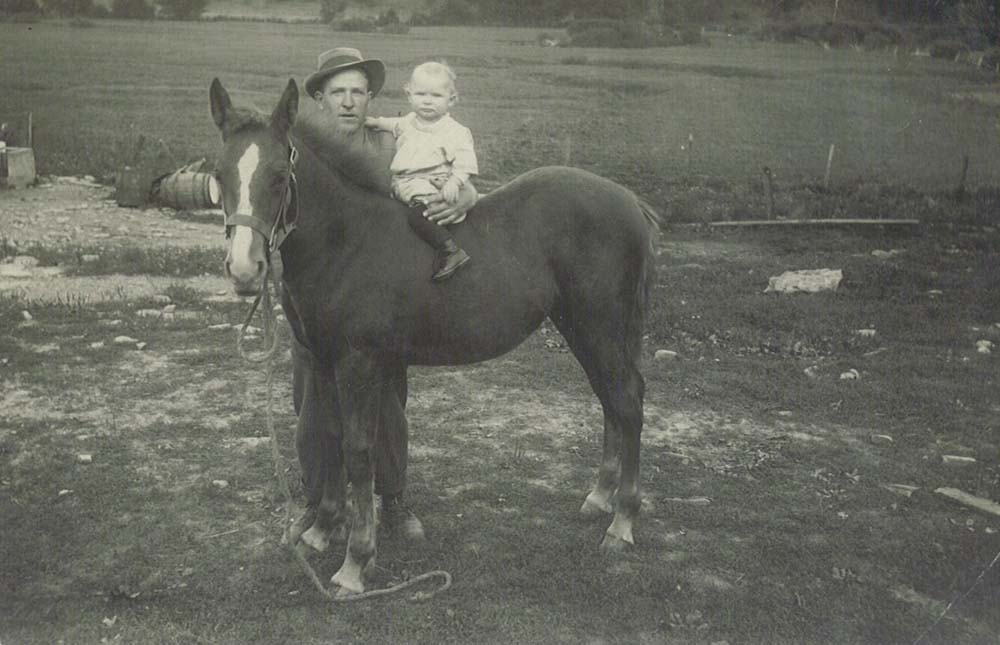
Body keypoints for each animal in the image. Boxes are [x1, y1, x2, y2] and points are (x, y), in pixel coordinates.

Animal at [209, 77, 659, 596]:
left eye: (281, 175)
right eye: (219, 174)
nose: (245, 271)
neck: (344, 241)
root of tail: (628, 199)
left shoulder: (358, 363)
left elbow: (358, 450)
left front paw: (355, 563)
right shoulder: (320, 358)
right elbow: (329, 436)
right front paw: (321, 531)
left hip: (601, 325)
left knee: (626, 401)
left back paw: (621, 523)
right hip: (580, 326)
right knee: (611, 401)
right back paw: (599, 498)